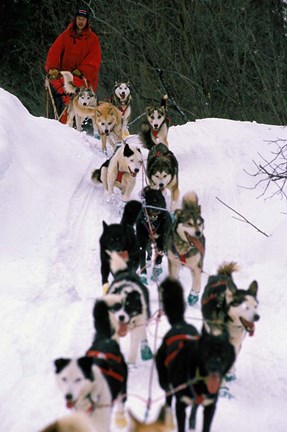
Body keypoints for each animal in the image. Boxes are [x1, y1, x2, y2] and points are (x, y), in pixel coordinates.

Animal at [155, 276, 236, 432]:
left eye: (223, 354)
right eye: (207, 353)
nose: (214, 367)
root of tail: (180, 324)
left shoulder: (210, 407)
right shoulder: (181, 405)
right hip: (166, 382)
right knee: (168, 397)